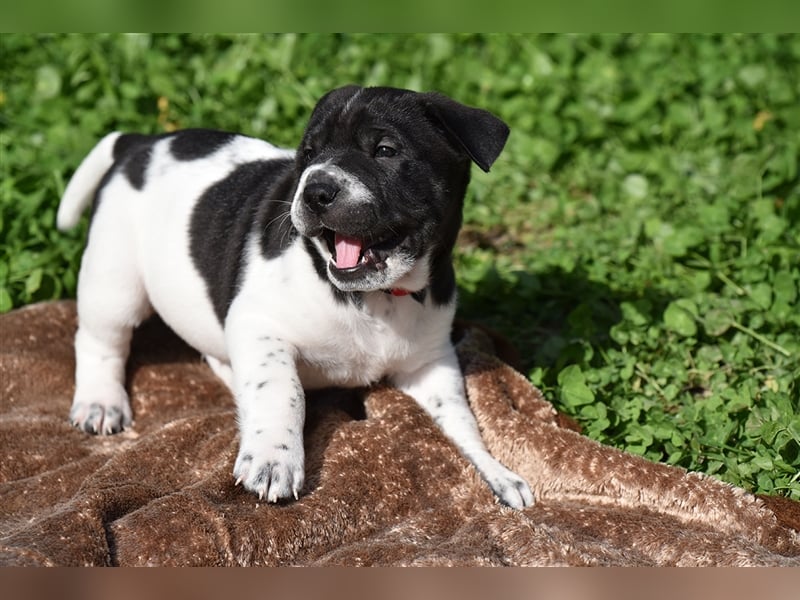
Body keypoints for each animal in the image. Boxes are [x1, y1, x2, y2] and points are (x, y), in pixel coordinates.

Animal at [54, 84, 532, 506]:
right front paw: (273, 460)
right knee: (99, 340)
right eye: (308, 156)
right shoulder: (259, 324)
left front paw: (494, 472)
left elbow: (459, 421)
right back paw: (100, 402)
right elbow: (282, 390)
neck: (377, 298)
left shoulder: (430, 362)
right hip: (114, 278)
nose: (316, 189)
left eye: (385, 150)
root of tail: (141, 142)